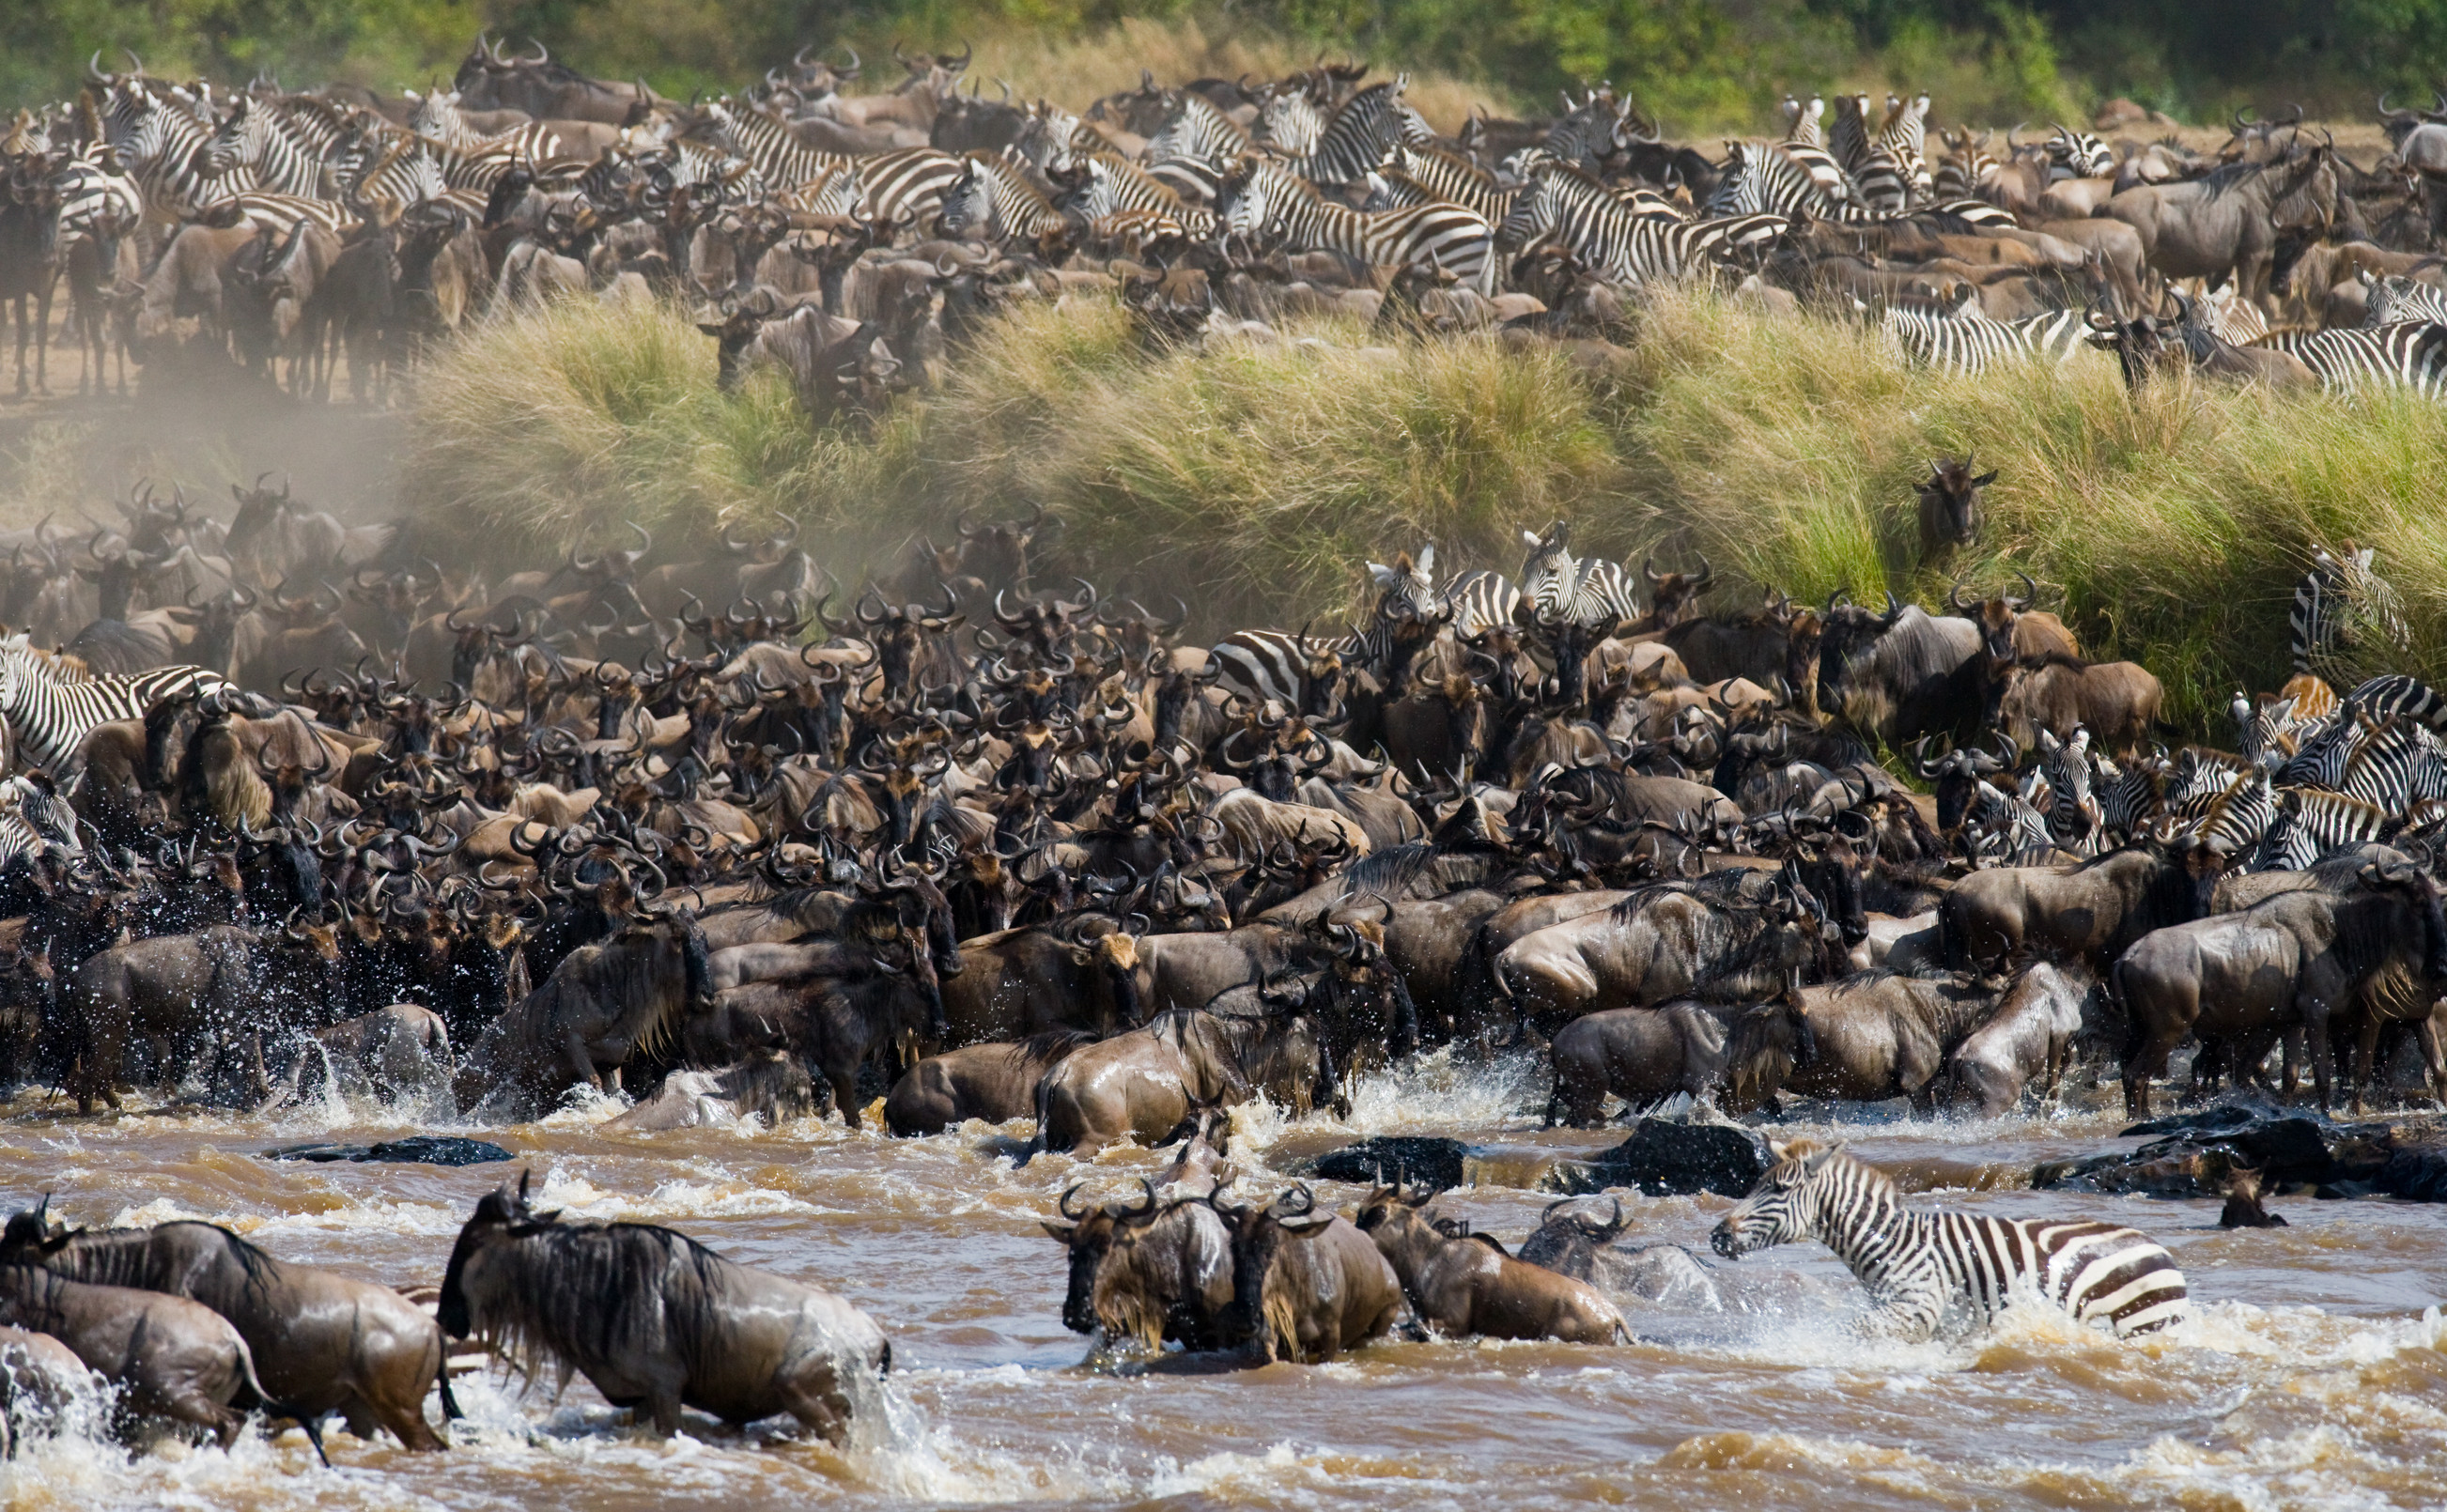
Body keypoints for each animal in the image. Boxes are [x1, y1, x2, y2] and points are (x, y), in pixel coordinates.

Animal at [1218, 160, 1497, 298]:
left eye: (1245, 198)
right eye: (1223, 197)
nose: (1224, 237)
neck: (1305, 224)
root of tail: (1483, 222)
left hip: (1460, 271)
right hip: (1480, 280)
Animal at [1712, 1134, 2192, 1340]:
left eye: (1778, 1190)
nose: (1716, 1235)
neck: (1890, 1244)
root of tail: (2159, 1248)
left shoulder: (1919, 1306)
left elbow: (1853, 1330)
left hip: (2143, 1323)